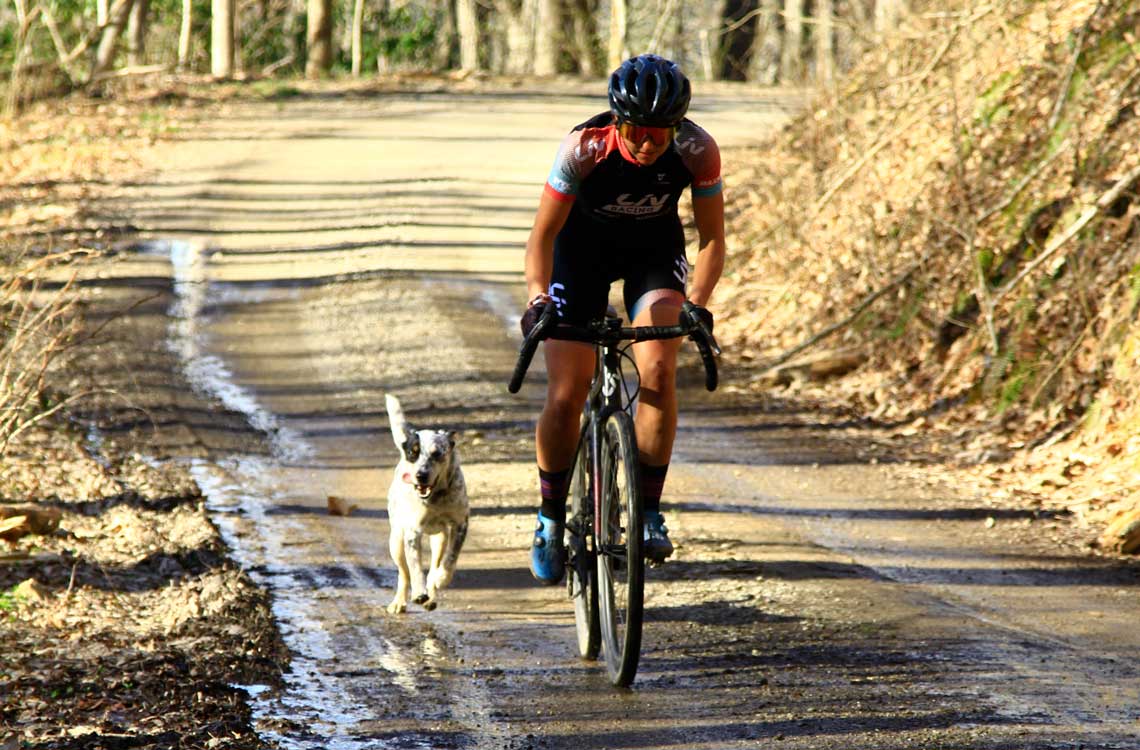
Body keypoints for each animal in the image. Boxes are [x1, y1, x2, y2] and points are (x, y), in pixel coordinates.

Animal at [385, 392, 469, 615]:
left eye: (437, 453)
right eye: (413, 453)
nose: (421, 475)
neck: (435, 498)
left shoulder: (460, 524)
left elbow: (450, 559)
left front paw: (441, 579)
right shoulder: (412, 532)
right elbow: (415, 568)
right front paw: (419, 593)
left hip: (440, 537)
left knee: (434, 564)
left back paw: (432, 593)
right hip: (396, 541)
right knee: (403, 573)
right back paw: (400, 602)